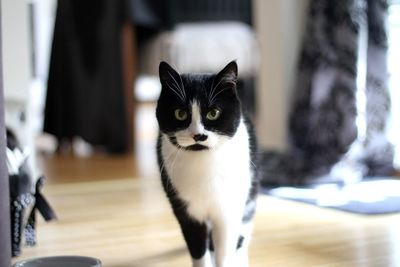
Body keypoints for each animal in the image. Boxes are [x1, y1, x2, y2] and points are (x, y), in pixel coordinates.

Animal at [155, 60, 258, 267]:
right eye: (180, 113)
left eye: (213, 113)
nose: (198, 135)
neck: (203, 163)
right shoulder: (185, 210)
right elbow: (198, 249)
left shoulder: (228, 209)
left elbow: (224, 251)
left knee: (243, 232)